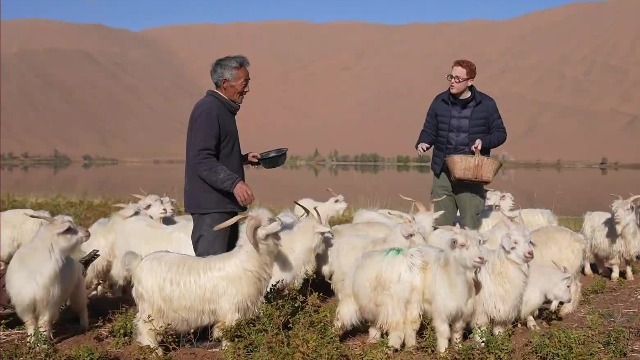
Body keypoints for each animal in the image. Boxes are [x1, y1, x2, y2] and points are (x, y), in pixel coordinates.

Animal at [124, 208, 282, 354]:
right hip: (152, 308)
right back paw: (155, 351)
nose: (280, 222)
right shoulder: (231, 309)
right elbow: (227, 331)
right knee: (145, 327)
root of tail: (138, 263)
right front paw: (229, 349)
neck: (246, 261)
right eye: (269, 221)